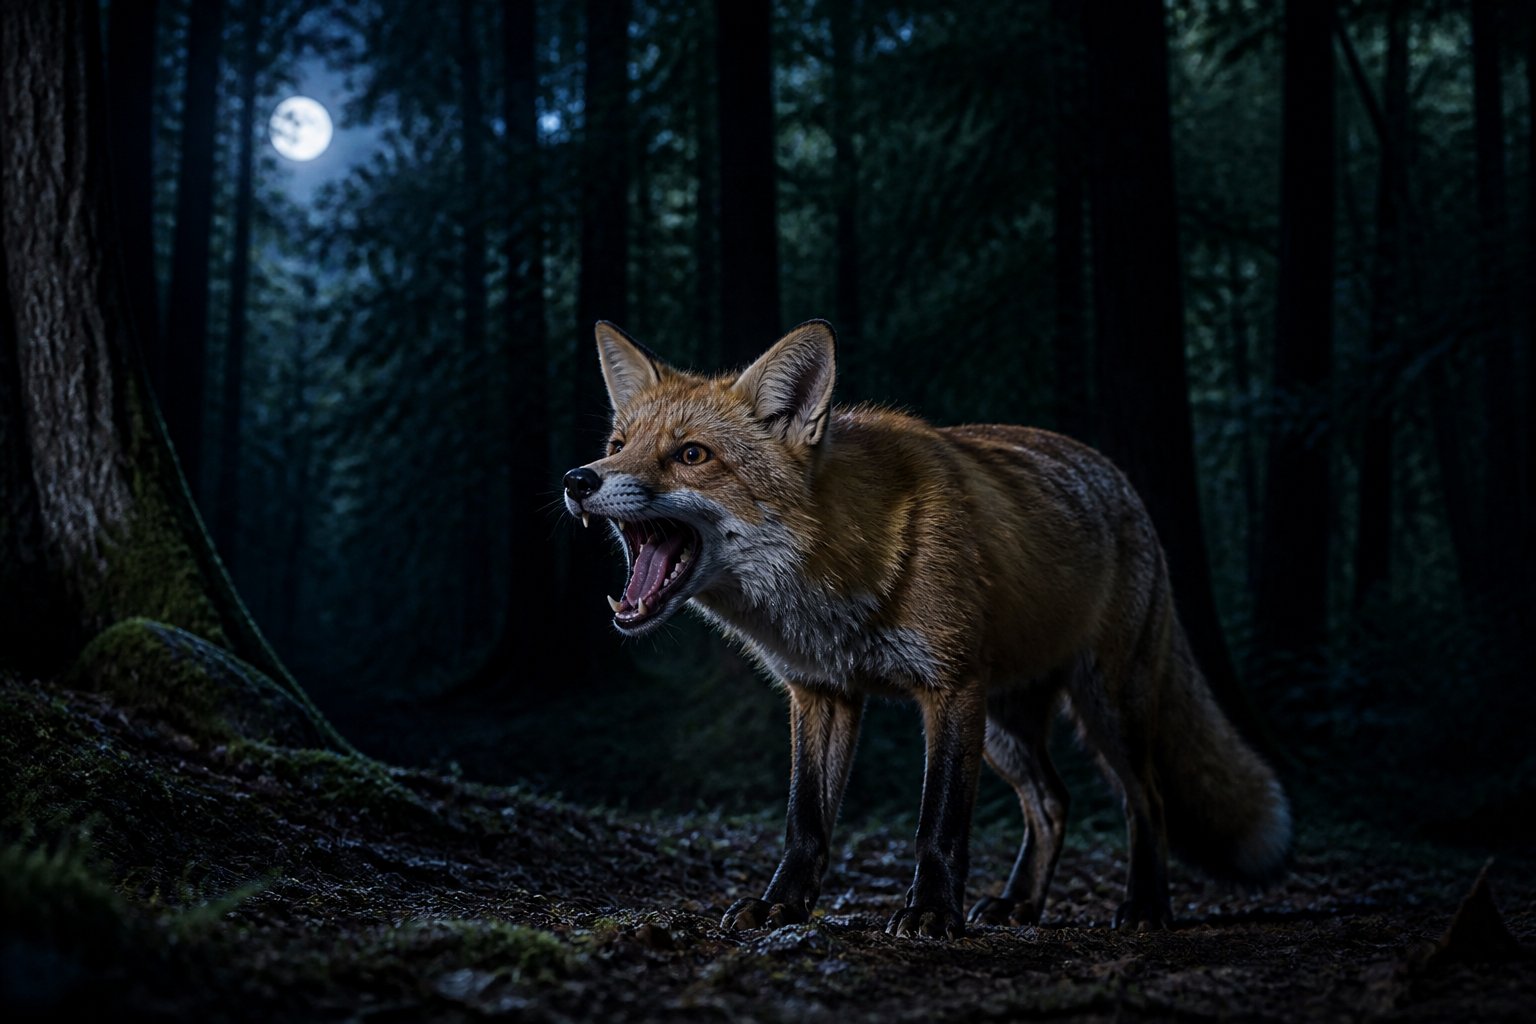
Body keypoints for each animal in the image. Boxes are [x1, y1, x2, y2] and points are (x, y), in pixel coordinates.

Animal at [562, 318, 1290, 938]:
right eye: (618, 446)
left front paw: (933, 913)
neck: (832, 584)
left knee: (1149, 800)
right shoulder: (822, 692)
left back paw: (1145, 905)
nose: (577, 478)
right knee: (1052, 802)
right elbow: (805, 823)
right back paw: (1020, 903)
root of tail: (1120, 481)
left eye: (691, 454)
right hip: (1003, 727)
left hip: (1104, 708)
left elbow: (938, 823)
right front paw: (782, 906)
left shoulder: (950, 686)